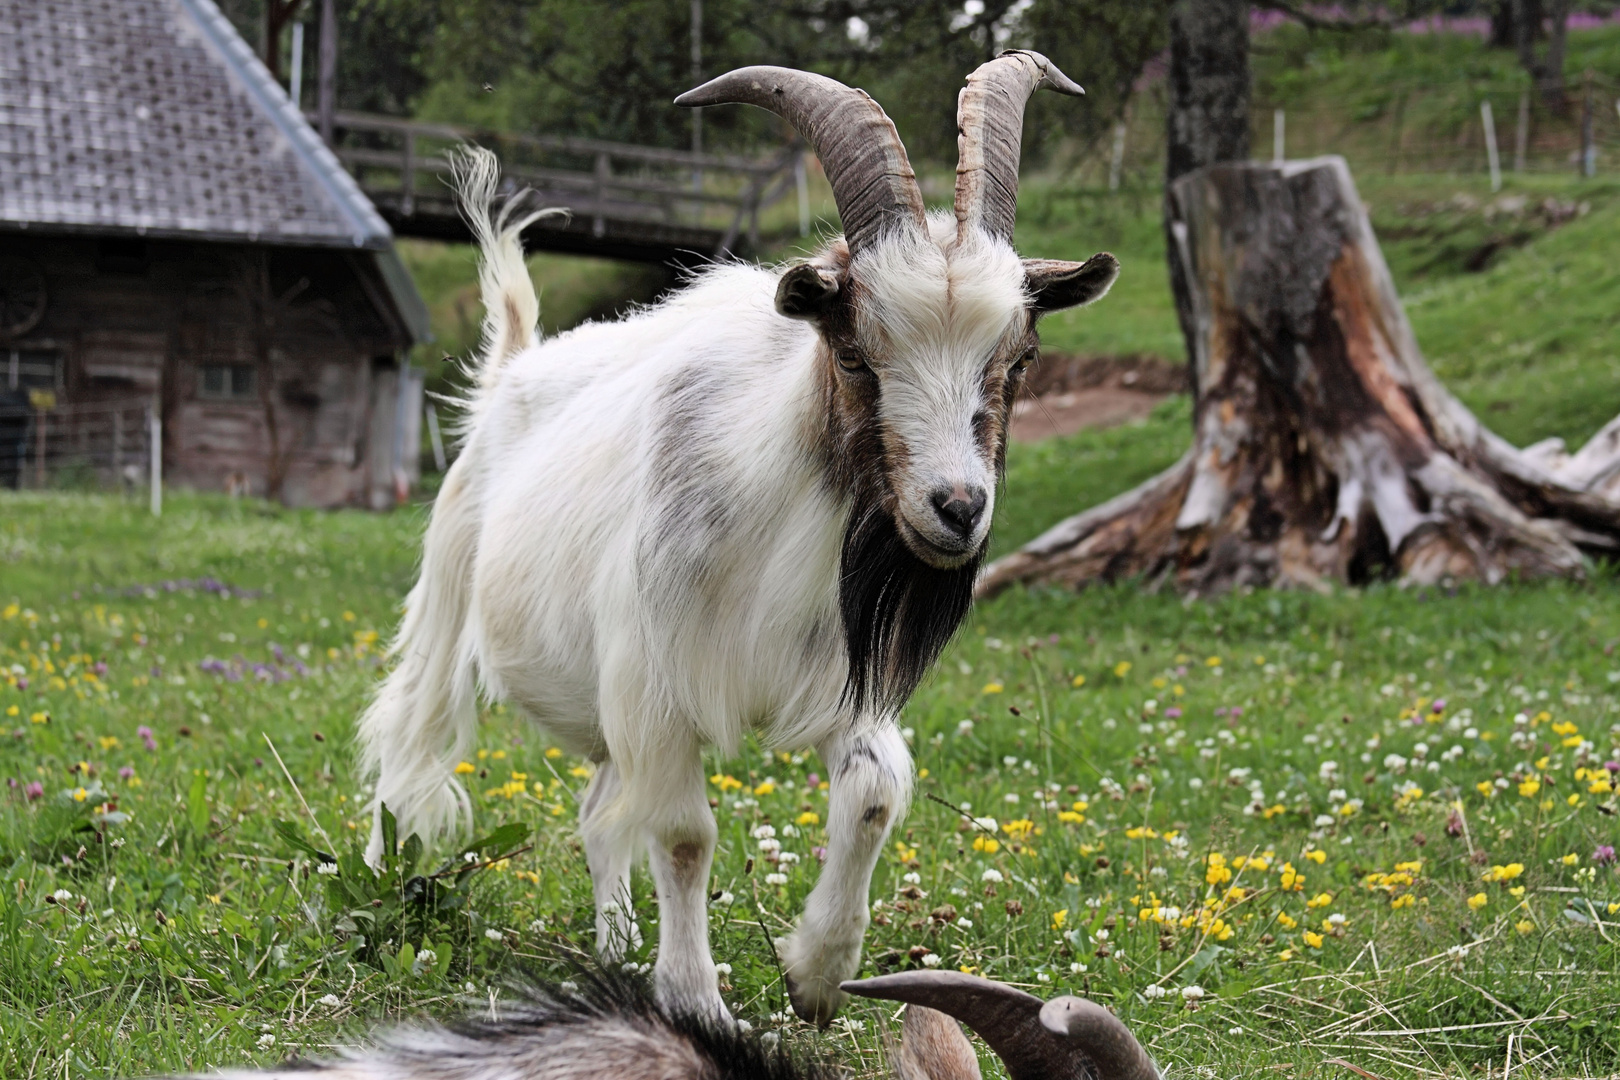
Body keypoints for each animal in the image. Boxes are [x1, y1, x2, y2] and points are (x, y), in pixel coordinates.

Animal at [358, 50, 1114, 1029]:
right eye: (857, 355)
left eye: (1018, 360)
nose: (956, 508)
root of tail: (512, 368)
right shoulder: (657, 682)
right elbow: (685, 835)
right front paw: (695, 1004)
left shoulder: (835, 672)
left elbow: (874, 792)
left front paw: (816, 972)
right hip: (451, 598)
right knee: (409, 745)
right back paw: (381, 891)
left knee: (600, 807)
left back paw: (615, 945)